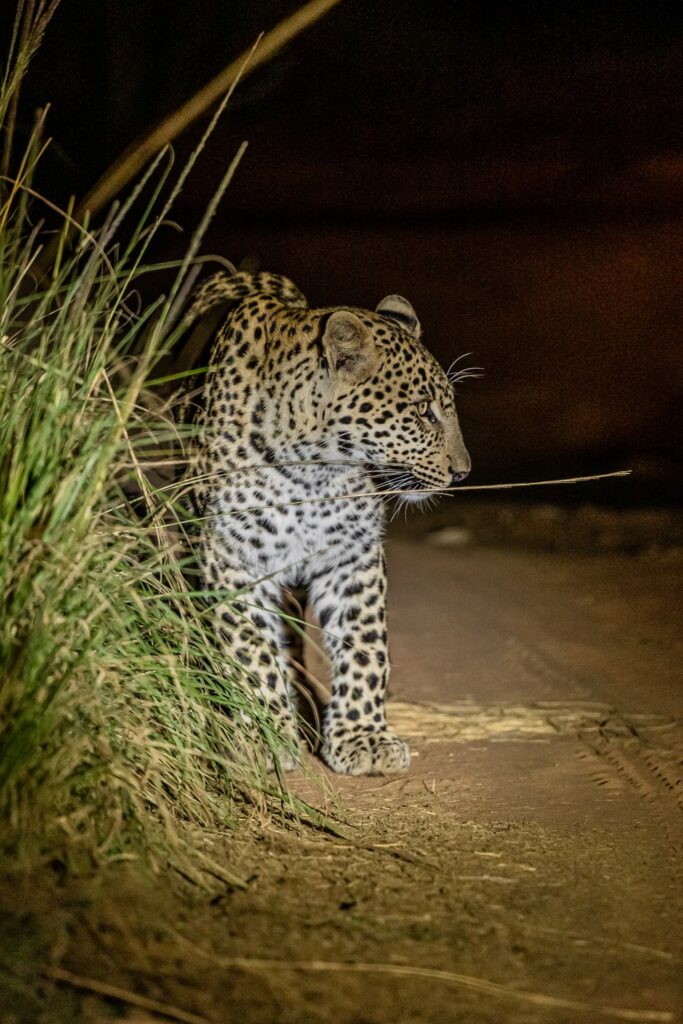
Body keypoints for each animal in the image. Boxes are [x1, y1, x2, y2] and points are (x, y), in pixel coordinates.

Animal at [181, 272, 471, 774]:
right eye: (424, 411)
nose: (463, 472)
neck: (315, 467)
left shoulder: (351, 557)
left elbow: (367, 645)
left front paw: (362, 738)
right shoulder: (232, 556)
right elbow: (250, 650)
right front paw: (265, 736)